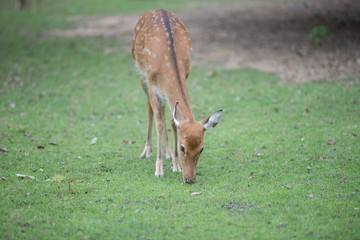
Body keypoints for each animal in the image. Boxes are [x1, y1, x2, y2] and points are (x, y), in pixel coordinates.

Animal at [131, 9, 222, 184]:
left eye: (201, 148)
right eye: (182, 147)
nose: (189, 179)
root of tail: (155, 10)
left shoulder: (184, 76)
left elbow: (174, 123)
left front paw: (176, 165)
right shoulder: (151, 84)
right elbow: (159, 124)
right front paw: (159, 170)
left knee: (164, 110)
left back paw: (167, 152)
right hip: (140, 74)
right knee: (149, 108)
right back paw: (146, 151)